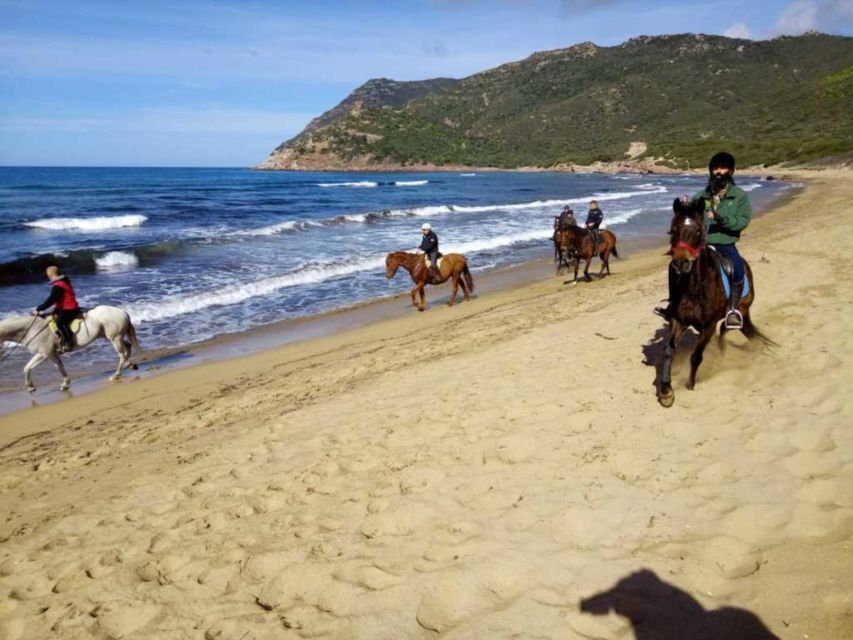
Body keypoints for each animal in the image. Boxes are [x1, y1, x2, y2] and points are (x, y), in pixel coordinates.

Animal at [0, 306, 141, 392]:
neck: (32, 329)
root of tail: (122, 312)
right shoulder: (52, 354)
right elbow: (60, 367)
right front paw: (65, 383)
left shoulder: (43, 354)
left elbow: (26, 368)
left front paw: (30, 387)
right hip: (113, 337)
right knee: (127, 346)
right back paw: (130, 364)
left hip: (114, 338)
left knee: (122, 354)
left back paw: (116, 375)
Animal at [656, 198, 776, 408]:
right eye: (673, 229)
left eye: (698, 231)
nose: (681, 263)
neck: (693, 286)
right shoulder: (679, 320)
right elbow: (669, 350)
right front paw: (666, 391)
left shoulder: (708, 326)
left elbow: (696, 356)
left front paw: (690, 384)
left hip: (741, 308)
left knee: (730, 327)